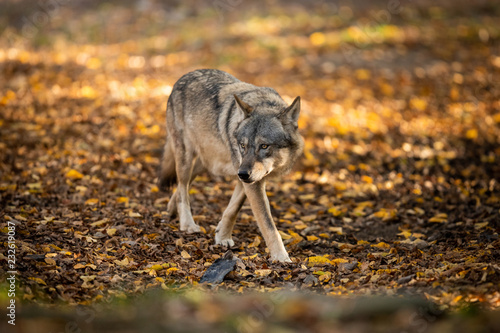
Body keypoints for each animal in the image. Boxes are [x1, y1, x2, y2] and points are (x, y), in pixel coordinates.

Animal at [159, 69, 304, 262]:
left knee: (183, 186)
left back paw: (171, 209)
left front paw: (222, 236)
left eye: (264, 146)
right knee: (182, 187)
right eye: (243, 145)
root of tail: (183, 77)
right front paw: (281, 257)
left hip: (205, 163)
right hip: (186, 157)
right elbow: (268, 224)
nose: (242, 174)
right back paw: (187, 224)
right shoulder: (250, 179)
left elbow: (233, 209)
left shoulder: (250, 179)